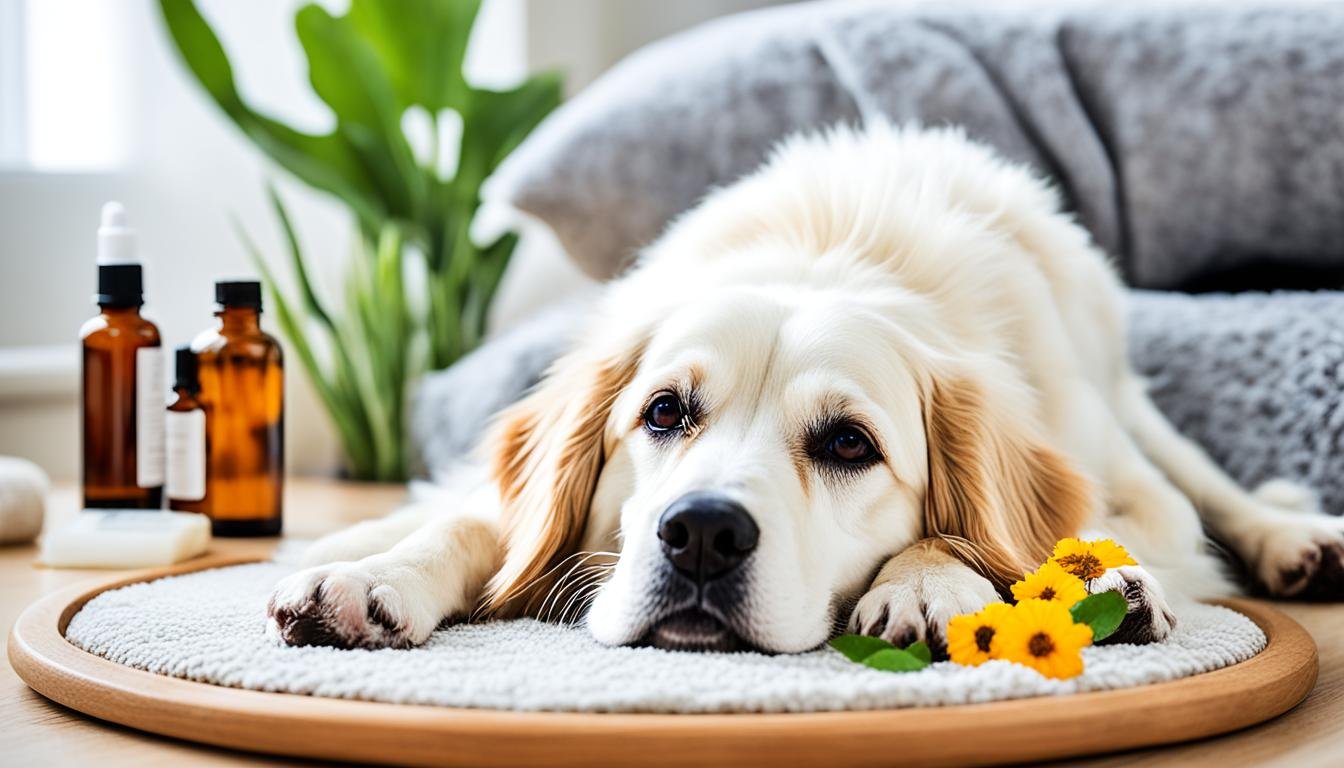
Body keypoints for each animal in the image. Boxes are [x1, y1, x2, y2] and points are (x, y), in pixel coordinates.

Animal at [264, 124, 1344, 656]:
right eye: (664, 412)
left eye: (849, 445)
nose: (701, 534)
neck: (830, 253)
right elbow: (475, 523)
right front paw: (373, 577)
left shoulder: (1119, 487)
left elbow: (978, 533)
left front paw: (929, 583)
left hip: (1125, 422)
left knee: (1209, 491)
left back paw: (1278, 546)